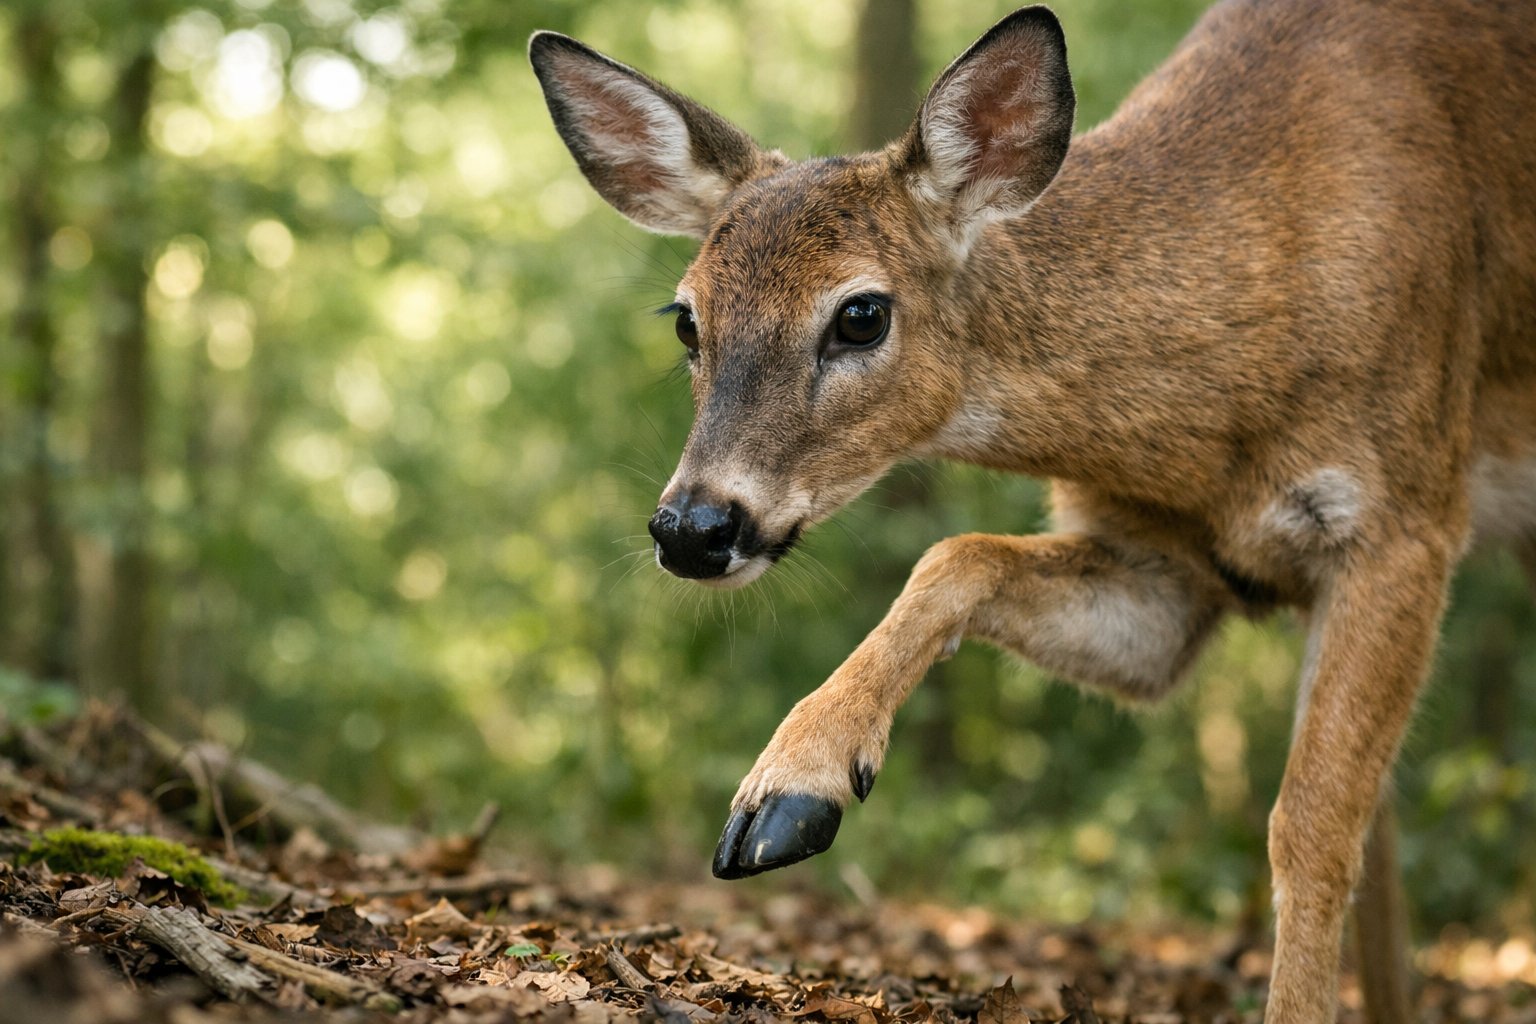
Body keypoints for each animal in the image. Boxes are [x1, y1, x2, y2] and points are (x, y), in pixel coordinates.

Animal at [529, 0, 1536, 1018]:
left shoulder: (1403, 521)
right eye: (687, 319)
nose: (693, 528)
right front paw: (788, 793)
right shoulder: (1162, 575)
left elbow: (1312, 827)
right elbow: (957, 555)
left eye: (861, 314)